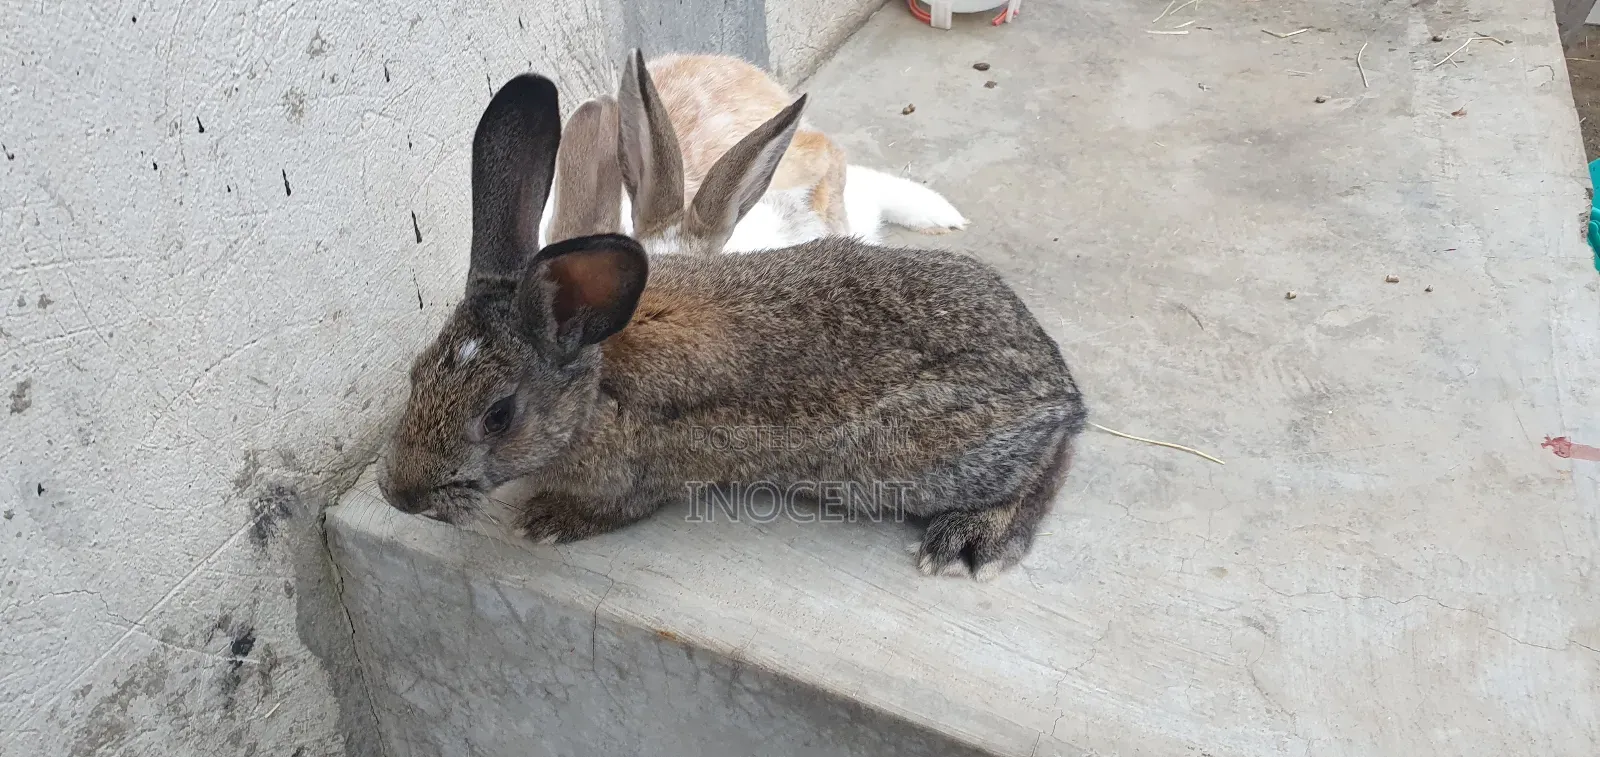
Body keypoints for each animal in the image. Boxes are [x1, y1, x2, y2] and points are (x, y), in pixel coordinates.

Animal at [378, 72, 1086, 580]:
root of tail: (1060, 389)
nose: (399, 496)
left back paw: (970, 541)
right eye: (415, 377)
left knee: (1046, 467)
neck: (597, 381)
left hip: (925, 459)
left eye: (499, 416)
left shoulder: (639, 477)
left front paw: (546, 521)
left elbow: (613, 508)